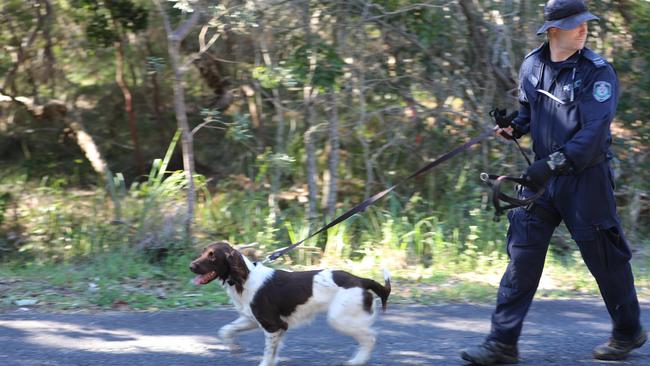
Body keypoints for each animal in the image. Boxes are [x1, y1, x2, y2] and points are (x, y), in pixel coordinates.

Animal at [187, 240, 390, 366]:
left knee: (370, 337)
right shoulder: (253, 319)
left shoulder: (273, 325)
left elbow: (268, 353)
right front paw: (234, 347)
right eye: (203, 252)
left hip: (339, 318)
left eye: (213, 256)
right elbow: (226, 330)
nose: (191, 266)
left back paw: (357, 361)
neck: (244, 279)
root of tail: (360, 279)